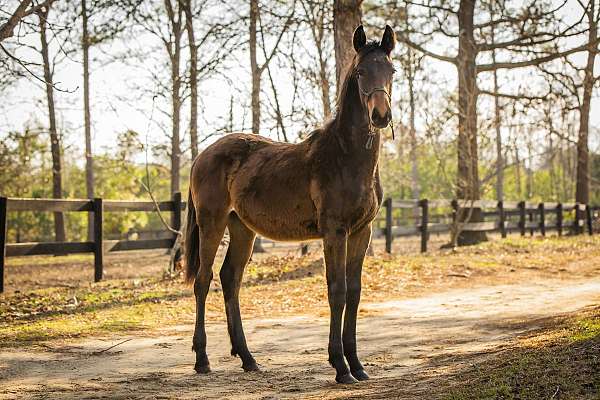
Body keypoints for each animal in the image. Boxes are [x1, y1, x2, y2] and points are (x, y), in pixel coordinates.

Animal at [185, 25, 396, 384]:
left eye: (392, 70)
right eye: (361, 73)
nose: (380, 116)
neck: (346, 157)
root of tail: (202, 155)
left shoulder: (361, 232)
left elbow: (354, 293)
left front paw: (357, 365)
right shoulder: (334, 232)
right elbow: (337, 290)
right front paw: (340, 367)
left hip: (242, 228)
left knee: (230, 279)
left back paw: (248, 358)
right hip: (211, 222)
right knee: (203, 280)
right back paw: (202, 359)